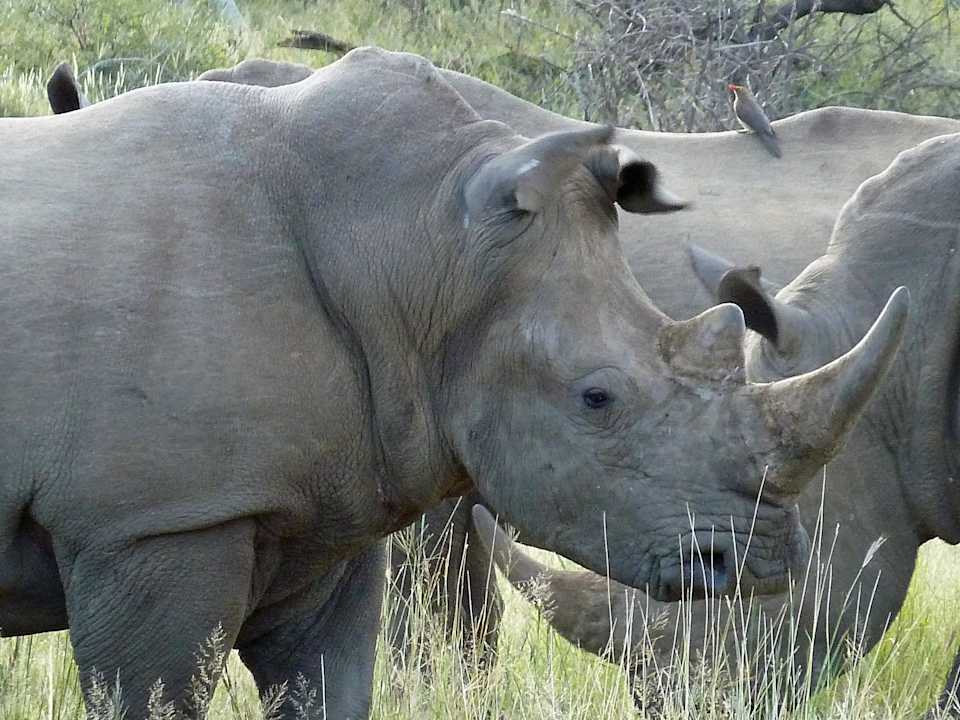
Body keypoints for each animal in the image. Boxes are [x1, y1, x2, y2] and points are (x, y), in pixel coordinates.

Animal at [2, 47, 901, 719]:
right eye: (597, 399)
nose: (763, 558)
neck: (417, 248)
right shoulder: (153, 522)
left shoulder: (323, 507)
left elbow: (329, 685)